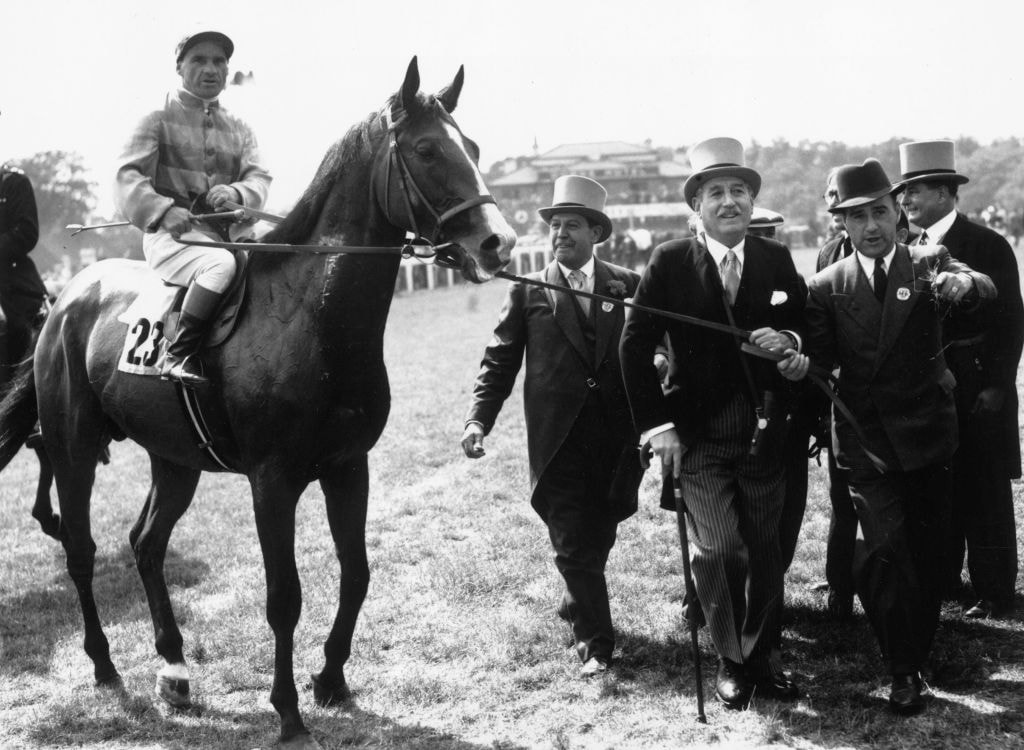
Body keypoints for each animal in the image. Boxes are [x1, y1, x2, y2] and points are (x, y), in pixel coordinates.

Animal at [0, 59, 516, 750]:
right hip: (72, 447)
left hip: (175, 459)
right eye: (429, 149)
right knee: (81, 550)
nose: (498, 244)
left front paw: (331, 680)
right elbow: (284, 596)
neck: (311, 317)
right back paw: (106, 666)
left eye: (476, 149)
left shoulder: (348, 467)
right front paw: (289, 713)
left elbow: (356, 572)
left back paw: (174, 668)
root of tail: (68, 297)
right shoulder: (273, 481)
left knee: (145, 543)